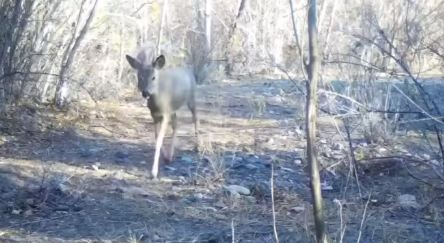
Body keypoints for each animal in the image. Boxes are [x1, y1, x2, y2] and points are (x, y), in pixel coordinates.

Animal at [126, 47, 199, 178]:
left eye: (154, 77)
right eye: (140, 77)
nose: (146, 92)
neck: (157, 103)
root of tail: (189, 71)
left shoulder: (165, 113)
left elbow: (159, 139)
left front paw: (154, 172)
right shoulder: (155, 115)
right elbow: (156, 137)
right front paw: (164, 157)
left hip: (191, 98)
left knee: (195, 118)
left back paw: (197, 147)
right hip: (173, 109)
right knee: (176, 125)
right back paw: (170, 156)